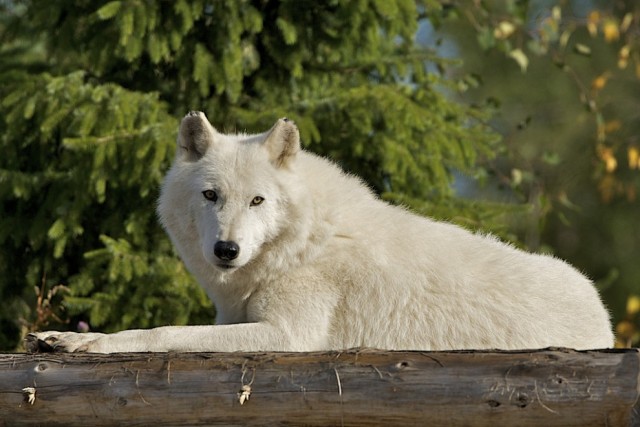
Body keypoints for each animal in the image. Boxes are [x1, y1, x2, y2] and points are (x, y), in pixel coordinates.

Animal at [27, 111, 613, 353]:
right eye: (211, 196)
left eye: (258, 200)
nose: (226, 249)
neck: (300, 246)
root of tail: (604, 316)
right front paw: (62, 337)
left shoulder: (286, 336)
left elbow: (162, 333)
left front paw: (83, 344)